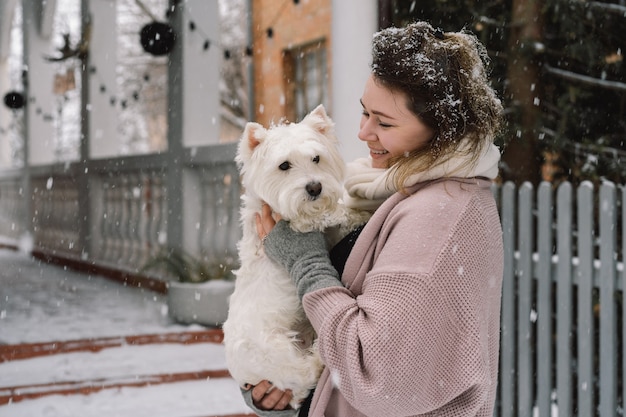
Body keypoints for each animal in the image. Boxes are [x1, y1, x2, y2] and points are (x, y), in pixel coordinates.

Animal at [222, 103, 366, 406]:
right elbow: (332, 214)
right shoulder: (298, 224)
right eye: (284, 165)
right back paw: (320, 356)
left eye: (316, 158)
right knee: (303, 375)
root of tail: (243, 376)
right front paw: (360, 210)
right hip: (275, 351)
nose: (315, 187)